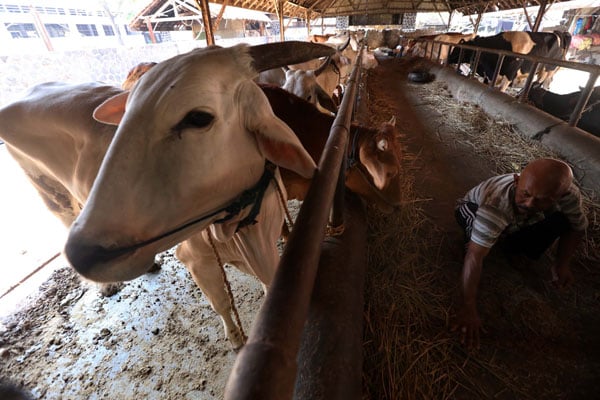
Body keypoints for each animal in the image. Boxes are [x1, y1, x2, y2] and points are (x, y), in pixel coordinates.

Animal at [0, 41, 332, 346]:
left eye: (198, 118)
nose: (83, 253)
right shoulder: (196, 260)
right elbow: (222, 303)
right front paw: (236, 339)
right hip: (51, 195)